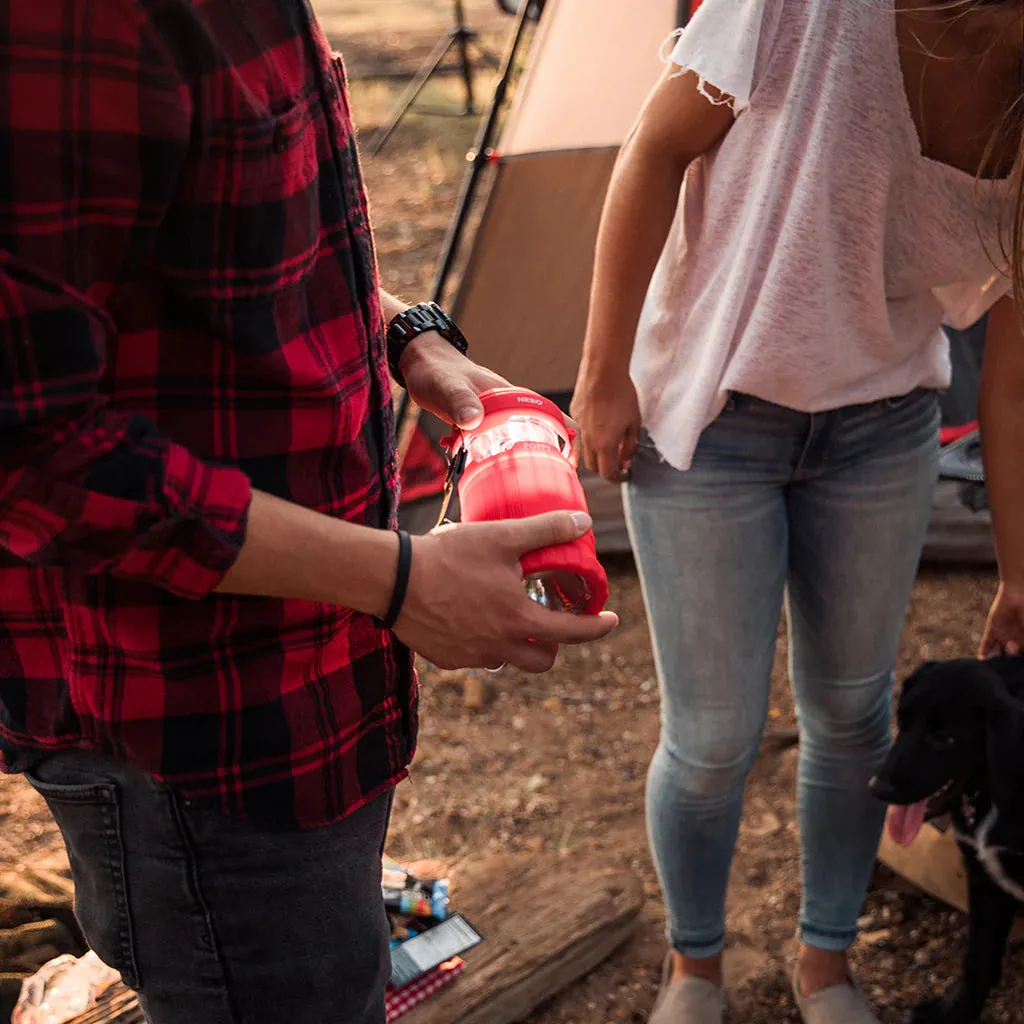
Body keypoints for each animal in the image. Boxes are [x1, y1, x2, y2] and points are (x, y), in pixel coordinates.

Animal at [868, 655, 1024, 1024]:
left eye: (944, 738)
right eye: (902, 721)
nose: (877, 789)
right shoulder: (984, 879)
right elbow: (978, 959)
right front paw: (956, 1012)